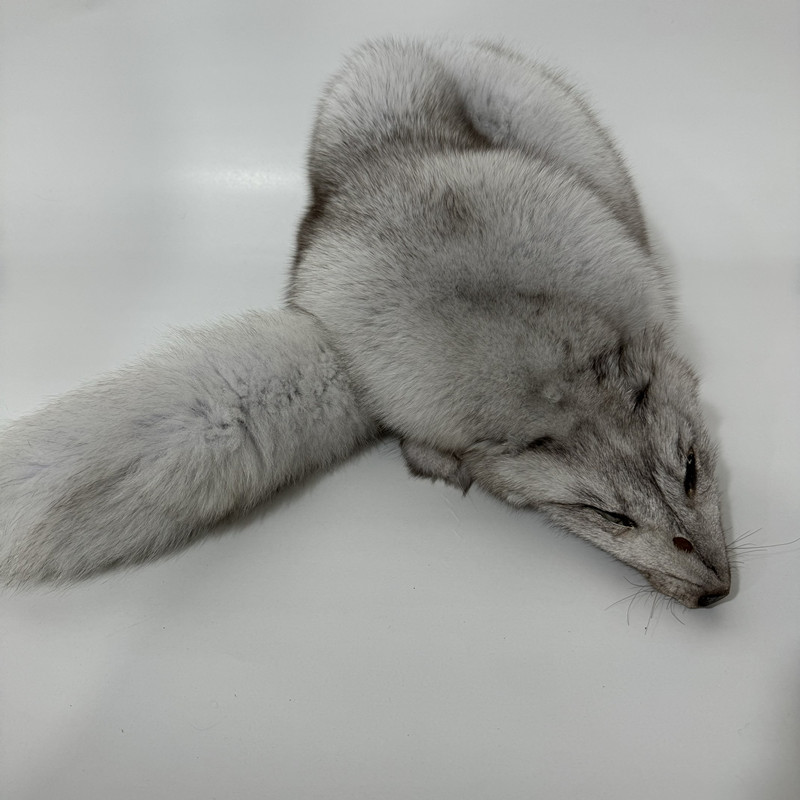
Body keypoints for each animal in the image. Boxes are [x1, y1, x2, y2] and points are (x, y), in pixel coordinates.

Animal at [0, 38, 731, 608]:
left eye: (693, 471)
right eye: (605, 515)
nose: (717, 593)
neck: (555, 371)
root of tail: (420, 45)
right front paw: (440, 465)